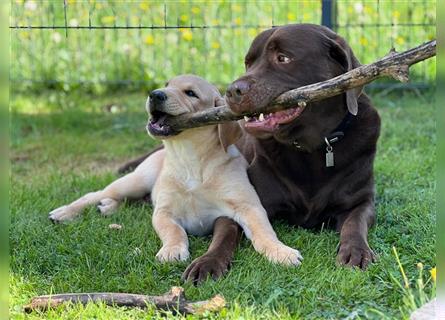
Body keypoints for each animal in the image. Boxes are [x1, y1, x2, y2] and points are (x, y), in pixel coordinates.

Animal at [50, 74, 304, 264]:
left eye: (191, 93)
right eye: (166, 85)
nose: (155, 94)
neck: (190, 159)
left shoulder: (249, 207)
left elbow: (264, 232)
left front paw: (280, 252)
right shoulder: (164, 212)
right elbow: (174, 231)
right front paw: (172, 250)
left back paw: (108, 208)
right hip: (136, 180)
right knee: (95, 194)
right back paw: (66, 212)